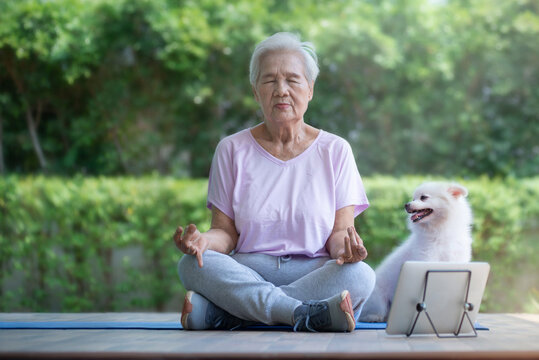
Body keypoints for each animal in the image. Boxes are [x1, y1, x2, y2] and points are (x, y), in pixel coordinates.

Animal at [360, 181, 474, 322]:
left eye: (423, 197)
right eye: (413, 198)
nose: (406, 204)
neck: (439, 231)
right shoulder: (427, 260)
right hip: (379, 299)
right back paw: (374, 317)